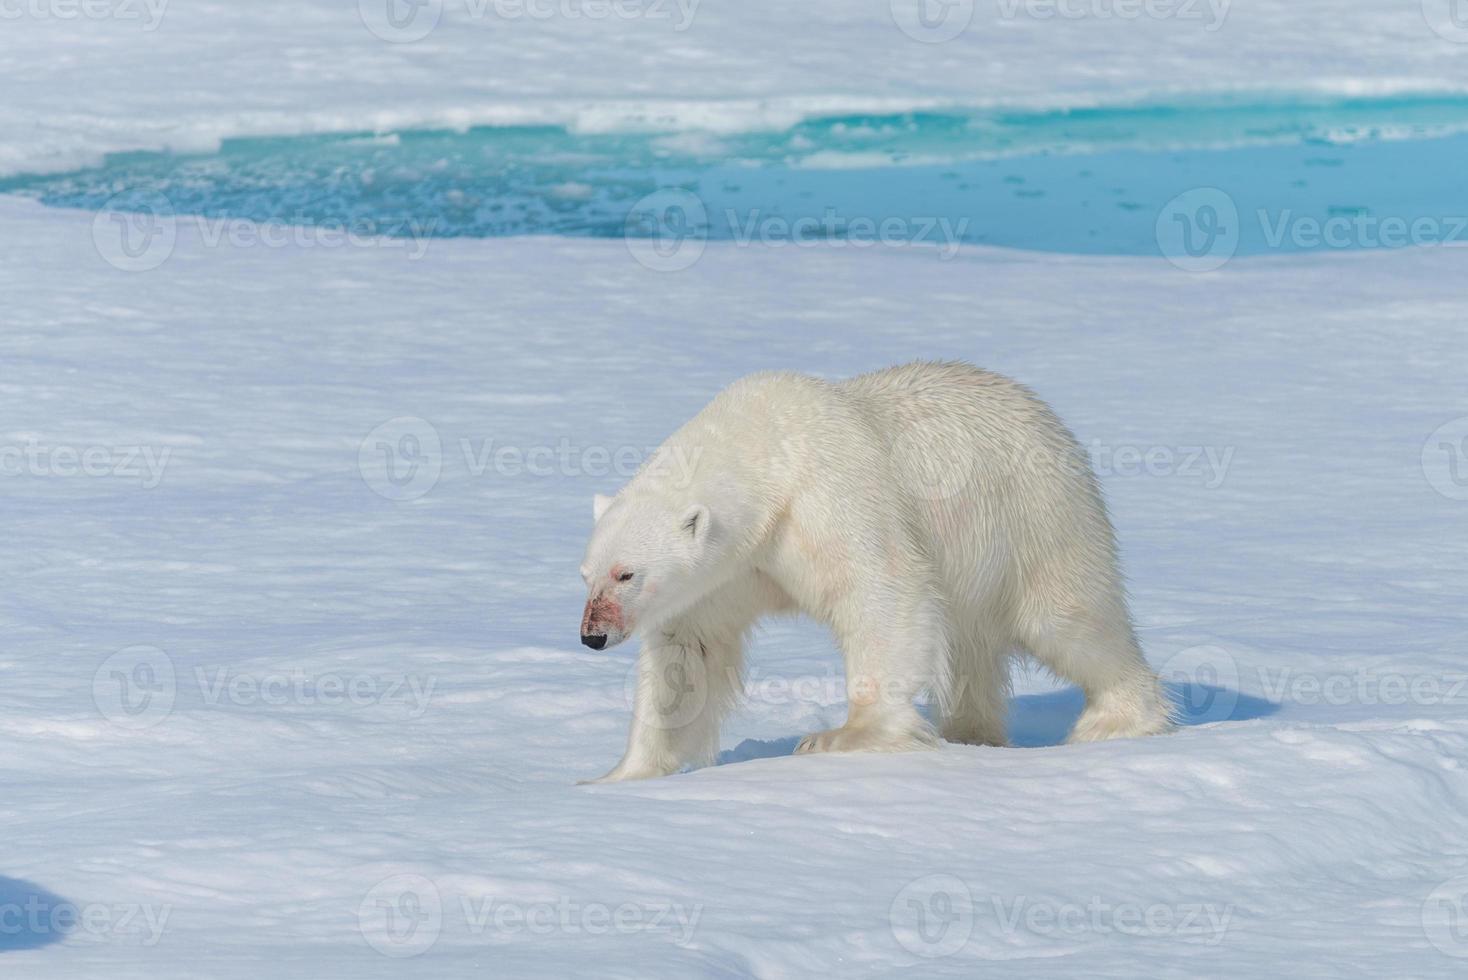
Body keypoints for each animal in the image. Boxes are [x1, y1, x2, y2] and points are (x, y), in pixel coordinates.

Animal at [572, 359, 1168, 780]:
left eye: (626, 574)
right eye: (586, 574)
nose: (592, 636)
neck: (763, 453)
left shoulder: (828, 497)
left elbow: (883, 592)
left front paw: (840, 737)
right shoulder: (730, 569)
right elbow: (687, 651)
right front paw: (616, 775)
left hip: (1035, 517)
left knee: (1068, 620)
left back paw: (1117, 719)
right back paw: (973, 734)